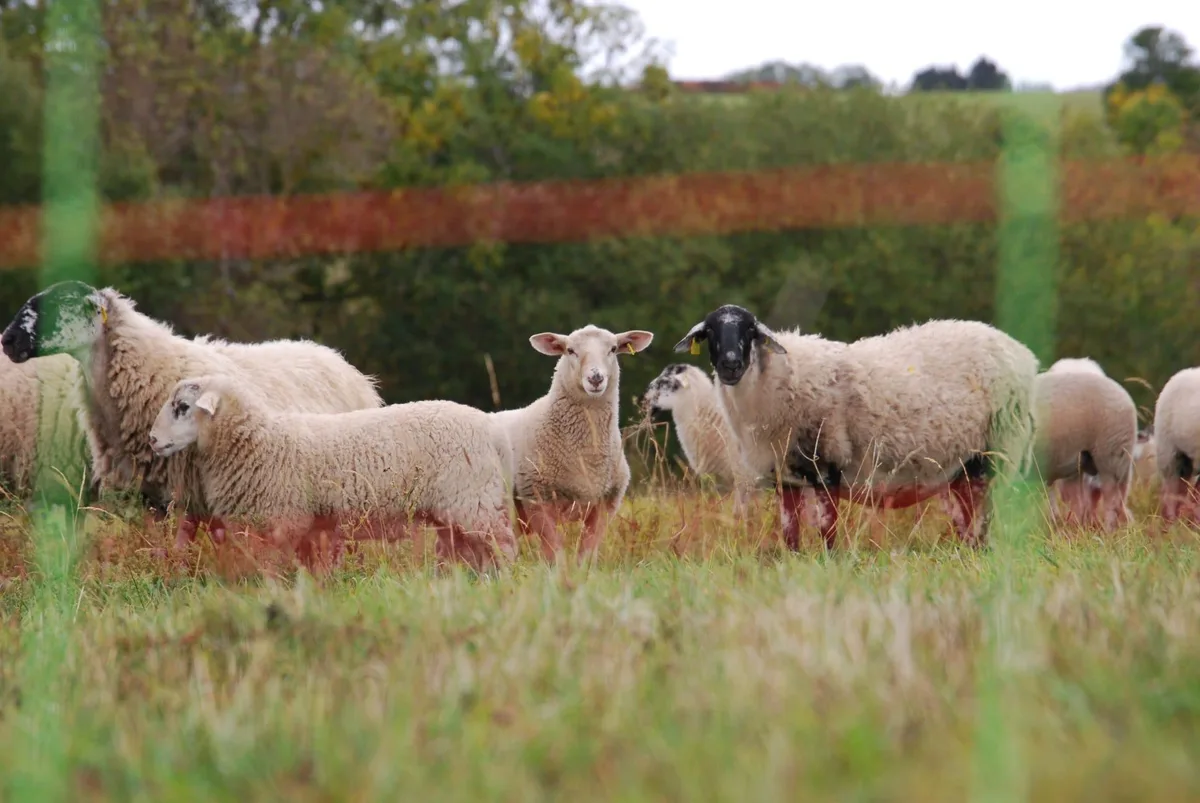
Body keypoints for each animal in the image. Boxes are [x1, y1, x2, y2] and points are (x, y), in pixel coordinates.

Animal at [147, 374, 517, 572]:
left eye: (182, 407)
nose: (152, 440)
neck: (260, 442)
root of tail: (490, 426)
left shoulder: (284, 521)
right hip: (455, 511)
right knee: (472, 550)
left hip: (474, 502)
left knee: (503, 544)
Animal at [489, 324, 654, 561]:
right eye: (570, 350)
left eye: (613, 349)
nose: (596, 378)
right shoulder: (537, 499)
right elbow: (555, 552)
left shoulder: (606, 504)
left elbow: (587, 553)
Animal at [673, 304, 1038, 550]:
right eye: (709, 333)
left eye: (750, 331)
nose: (731, 365)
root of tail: (1024, 355)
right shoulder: (785, 476)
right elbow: (790, 533)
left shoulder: (827, 464)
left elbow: (827, 529)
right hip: (963, 464)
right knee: (969, 519)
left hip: (998, 449)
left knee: (985, 517)